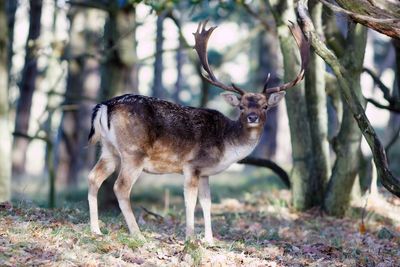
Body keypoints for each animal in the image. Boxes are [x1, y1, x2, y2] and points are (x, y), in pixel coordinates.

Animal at [86, 21, 308, 246]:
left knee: (93, 177)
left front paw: (210, 240)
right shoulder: (192, 165)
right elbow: (190, 202)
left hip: (109, 150)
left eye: (265, 106)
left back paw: (96, 230)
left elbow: (207, 202)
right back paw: (138, 235)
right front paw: (190, 238)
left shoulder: (205, 172)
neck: (226, 145)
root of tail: (105, 105)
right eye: (242, 107)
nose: (252, 117)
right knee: (120, 187)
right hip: (133, 152)